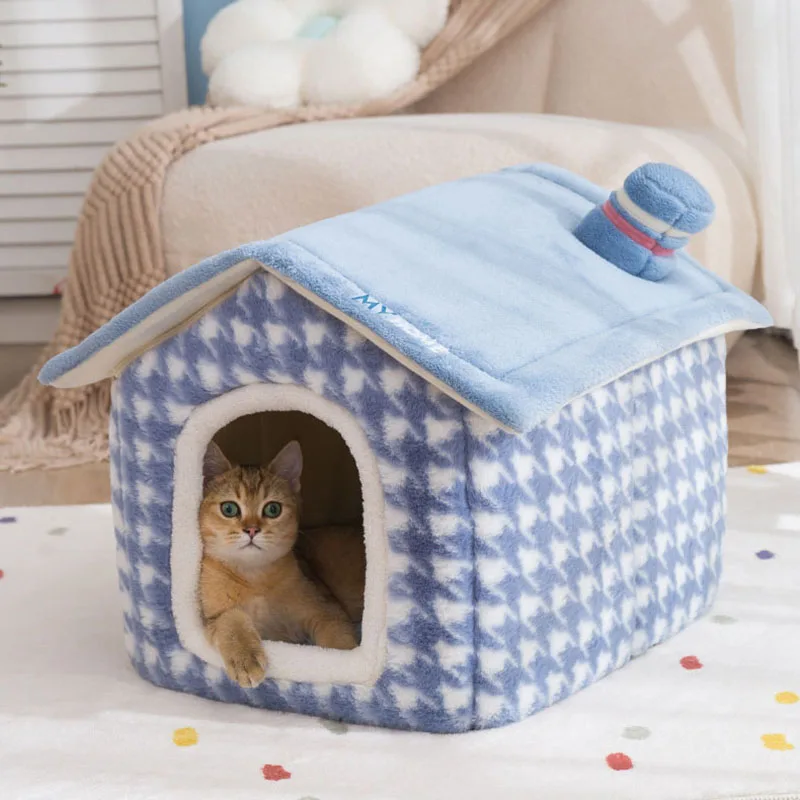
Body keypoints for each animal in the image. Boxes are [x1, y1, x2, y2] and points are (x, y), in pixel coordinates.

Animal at [199, 439, 359, 688]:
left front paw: (343, 663)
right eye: (229, 509)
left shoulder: (327, 608)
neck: (254, 579)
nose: (252, 530)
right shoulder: (211, 615)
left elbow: (337, 641)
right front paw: (245, 657)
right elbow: (231, 619)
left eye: (273, 509)